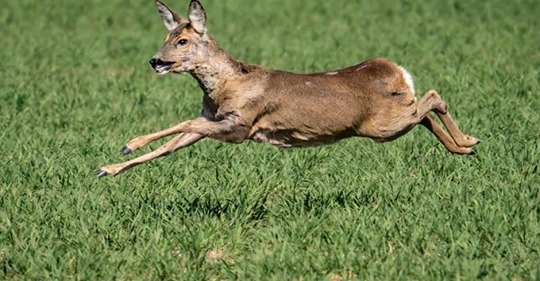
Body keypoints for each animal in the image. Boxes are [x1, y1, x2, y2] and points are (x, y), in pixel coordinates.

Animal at [96, 0, 476, 177]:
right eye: (167, 37)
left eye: (182, 41)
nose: (155, 61)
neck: (227, 85)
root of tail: (396, 71)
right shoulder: (215, 119)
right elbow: (173, 144)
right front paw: (107, 168)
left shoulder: (241, 124)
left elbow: (184, 124)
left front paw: (128, 144)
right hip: (392, 120)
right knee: (424, 112)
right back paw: (463, 149)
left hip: (381, 126)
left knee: (433, 97)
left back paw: (469, 141)